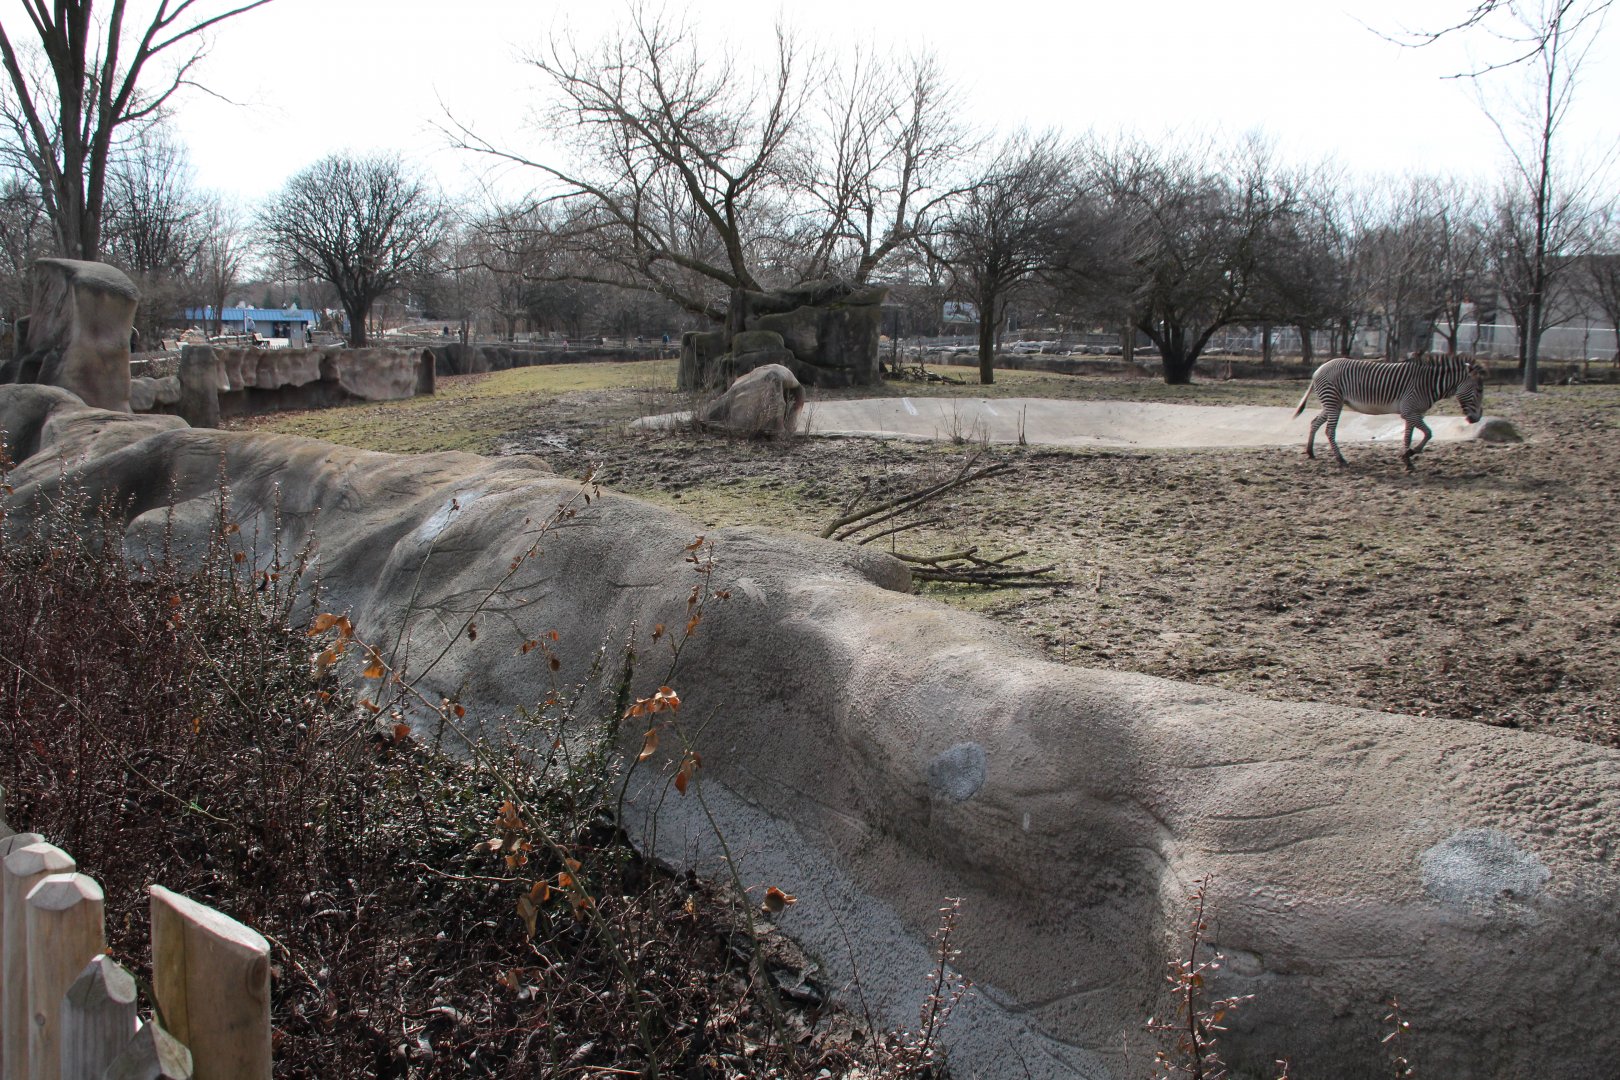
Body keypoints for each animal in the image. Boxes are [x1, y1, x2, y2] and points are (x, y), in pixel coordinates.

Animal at [1293, 354, 1486, 471]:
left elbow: (1412, 436)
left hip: (1334, 403)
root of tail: (1319, 370)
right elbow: (1427, 433)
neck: (1428, 384)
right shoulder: (1409, 411)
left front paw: (1407, 458)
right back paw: (1340, 459)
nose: (1476, 419)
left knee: (1315, 422)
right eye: (1479, 390)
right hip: (1332, 401)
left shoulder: (1413, 413)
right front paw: (1410, 455)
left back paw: (1310, 452)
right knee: (1329, 430)